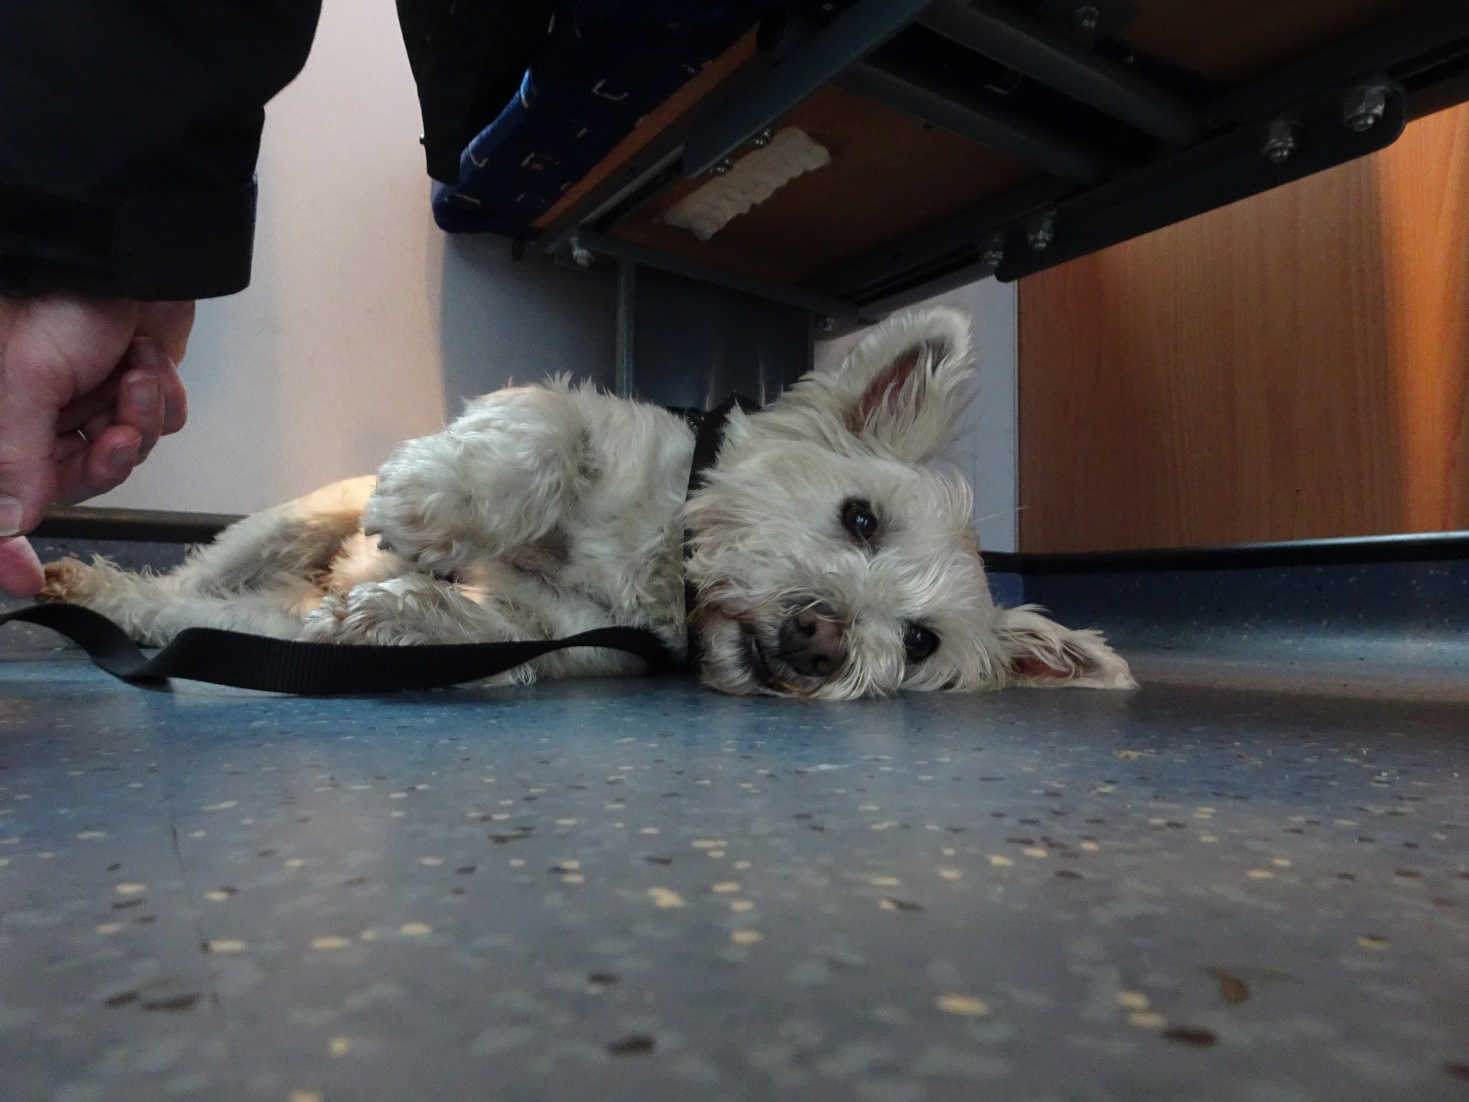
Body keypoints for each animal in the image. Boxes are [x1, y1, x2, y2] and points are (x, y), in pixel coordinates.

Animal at [37, 304, 1134, 699]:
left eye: (917, 642)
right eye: (858, 516)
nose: (823, 640)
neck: (662, 575)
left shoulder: (572, 637)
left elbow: (493, 638)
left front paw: (397, 613)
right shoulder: (584, 419)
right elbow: (547, 434)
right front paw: (435, 503)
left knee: (197, 616)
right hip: (297, 518)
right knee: (188, 583)